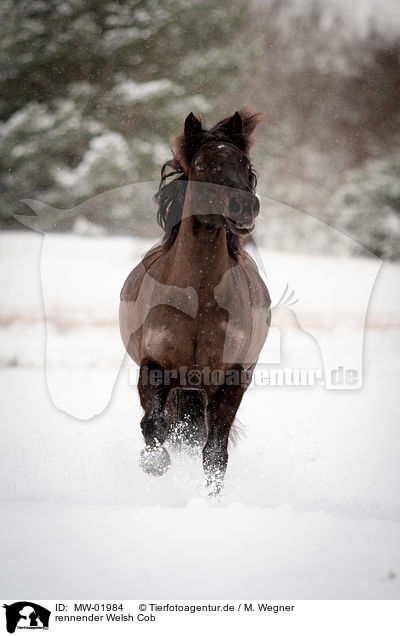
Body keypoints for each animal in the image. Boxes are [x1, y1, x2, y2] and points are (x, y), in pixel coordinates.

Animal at [118, 110, 268, 496]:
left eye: (245, 164)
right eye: (200, 165)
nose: (244, 206)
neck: (198, 300)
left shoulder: (232, 378)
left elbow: (215, 452)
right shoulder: (154, 366)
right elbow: (154, 426)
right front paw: (154, 465)